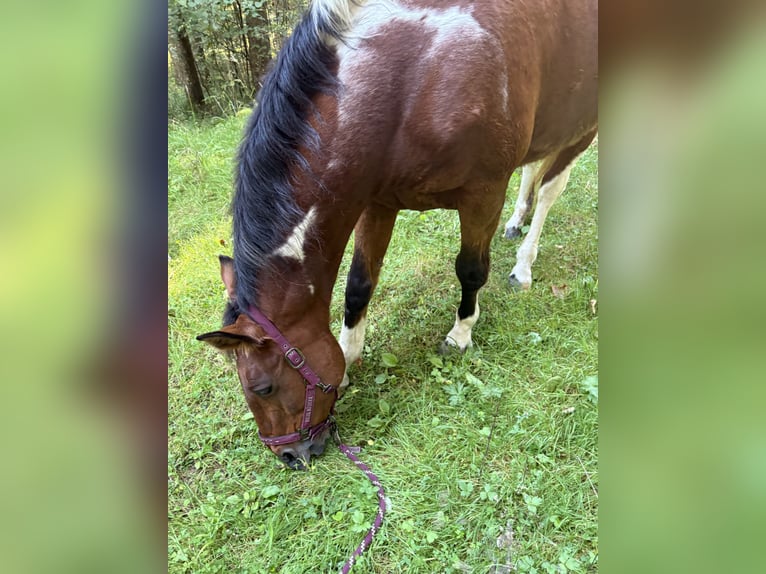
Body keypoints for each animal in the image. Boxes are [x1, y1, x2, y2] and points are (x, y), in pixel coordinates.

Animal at [197, 0, 597, 470]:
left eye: (262, 387)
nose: (291, 456)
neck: (414, 78)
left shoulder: (483, 193)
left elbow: (470, 270)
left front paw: (460, 333)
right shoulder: (377, 203)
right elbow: (358, 286)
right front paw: (348, 359)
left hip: (582, 129)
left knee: (551, 187)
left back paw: (524, 265)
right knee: (535, 169)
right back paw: (517, 222)